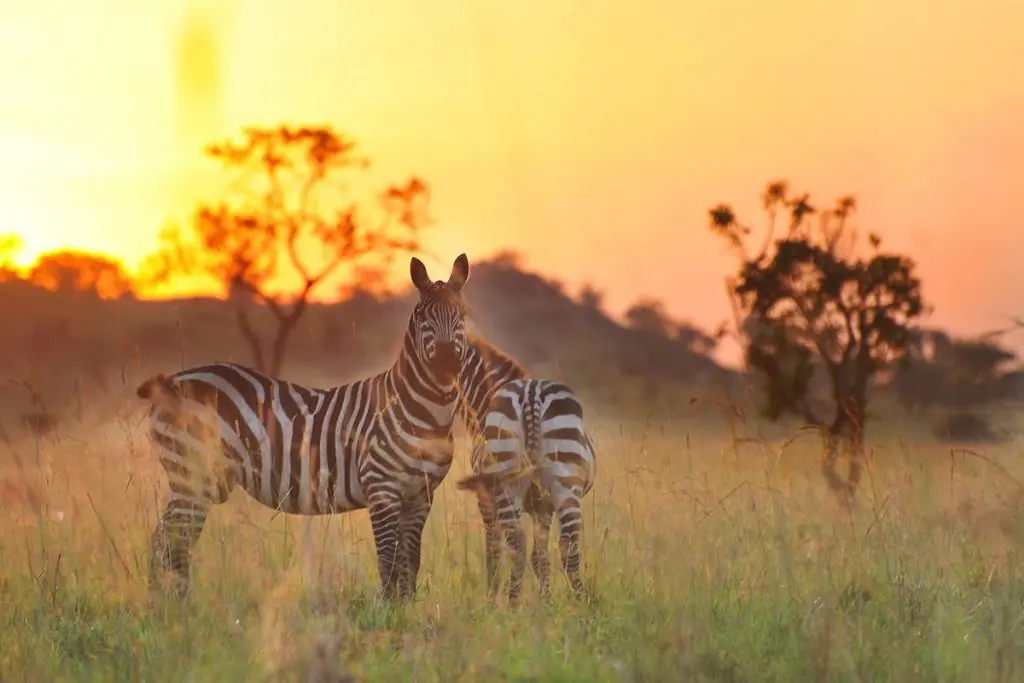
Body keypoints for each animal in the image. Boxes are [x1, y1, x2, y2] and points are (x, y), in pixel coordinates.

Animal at [136, 253, 471, 602]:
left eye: (462, 314)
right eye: (422, 316)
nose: (446, 364)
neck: (423, 410)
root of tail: (171, 381)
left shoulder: (421, 494)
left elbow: (410, 560)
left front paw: (405, 607)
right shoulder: (381, 487)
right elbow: (388, 561)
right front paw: (389, 609)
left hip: (198, 481)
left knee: (173, 541)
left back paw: (172, 602)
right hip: (191, 474)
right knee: (167, 542)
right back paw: (171, 604)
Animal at [452, 335, 598, 602]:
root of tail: (532, 394)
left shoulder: (486, 498)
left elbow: (494, 551)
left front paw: (493, 596)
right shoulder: (543, 505)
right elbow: (539, 557)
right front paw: (545, 600)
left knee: (520, 545)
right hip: (562, 486)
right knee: (565, 548)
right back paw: (578, 603)